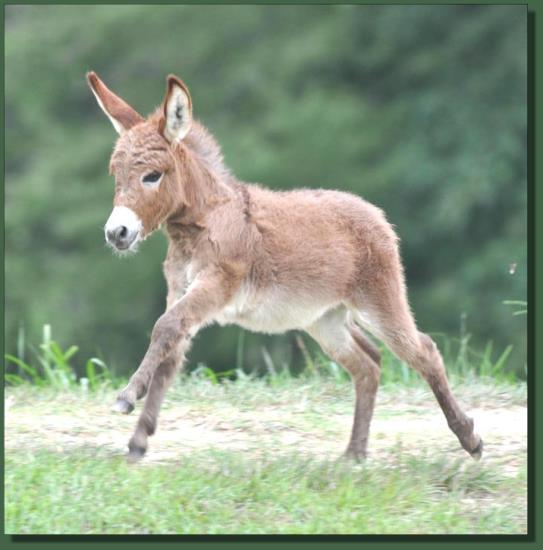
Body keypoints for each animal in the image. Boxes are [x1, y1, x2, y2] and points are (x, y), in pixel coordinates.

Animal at [87, 71, 482, 464]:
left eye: (153, 176)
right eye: (114, 174)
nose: (116, 233)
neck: (203, 221)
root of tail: (375, 212)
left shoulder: (215, 284)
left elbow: (164, 328)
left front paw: (127, 396)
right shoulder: (181, 290)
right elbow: (169, 357)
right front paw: (139, 439)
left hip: (379, 300)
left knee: (423, 351)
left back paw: (469, 439)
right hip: (324, 319)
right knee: (367, 363)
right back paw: (354, 454)